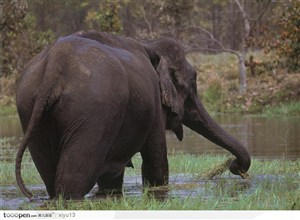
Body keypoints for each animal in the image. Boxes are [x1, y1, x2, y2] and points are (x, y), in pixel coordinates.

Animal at [16, 30, 251, 199]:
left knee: (50, 173)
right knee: (74, 179)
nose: (235, 166)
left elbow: (112, 177)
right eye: (192, 81)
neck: (150, 44)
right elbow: (155, 164)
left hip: (30, 108)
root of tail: (53, 67)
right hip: (93, 112)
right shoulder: (154, 103)